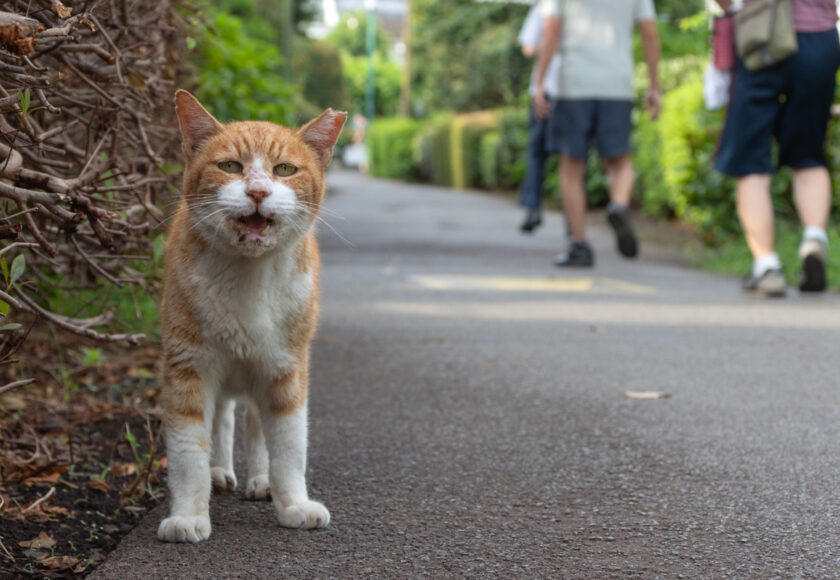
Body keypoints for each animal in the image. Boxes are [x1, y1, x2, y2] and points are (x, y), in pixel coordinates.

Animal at [159, 90, 346, 544]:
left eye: (284, 170)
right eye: (230, 166)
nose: (259, 190)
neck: (248, 278)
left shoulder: (286, 369)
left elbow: (289, 447)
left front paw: (293, 504)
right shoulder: (187, 367)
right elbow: (188, 451)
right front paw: (188, 515)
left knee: (256, 425)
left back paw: (261, 481)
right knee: (223, 419)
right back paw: (219, 472)